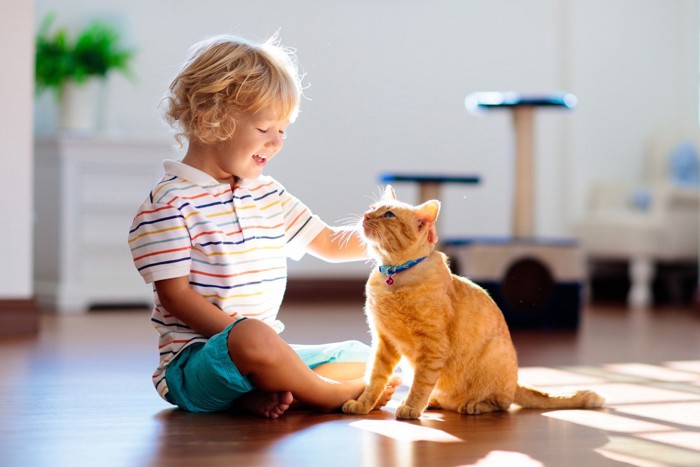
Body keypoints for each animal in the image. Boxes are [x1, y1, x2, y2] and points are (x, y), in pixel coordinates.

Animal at [342, 188, 604, 422]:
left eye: (388, 215)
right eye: (372, 208)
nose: (365, 216)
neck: (394, 278)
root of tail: (516, 382)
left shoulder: (432, 345)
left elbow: (421, 383)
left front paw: (411, 407)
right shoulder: (384, 341)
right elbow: (374, 380)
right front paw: (363, 405)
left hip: (494, 358)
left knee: (502, 404)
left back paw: (473, 405)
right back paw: (434, 402)